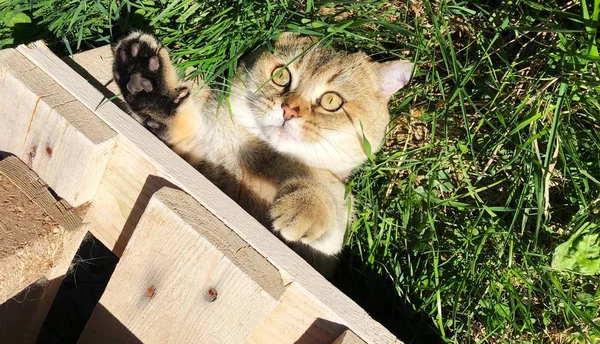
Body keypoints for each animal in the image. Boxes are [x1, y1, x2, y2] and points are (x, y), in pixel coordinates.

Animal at [111, 32, 412, 276]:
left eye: (331, 101)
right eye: (281, 75)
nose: (289, 110)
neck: (262, 156)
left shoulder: (326, 241)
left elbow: (330, 203)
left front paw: (304, 207)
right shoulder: (199, 164)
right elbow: (183, 126)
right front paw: (146, 79)